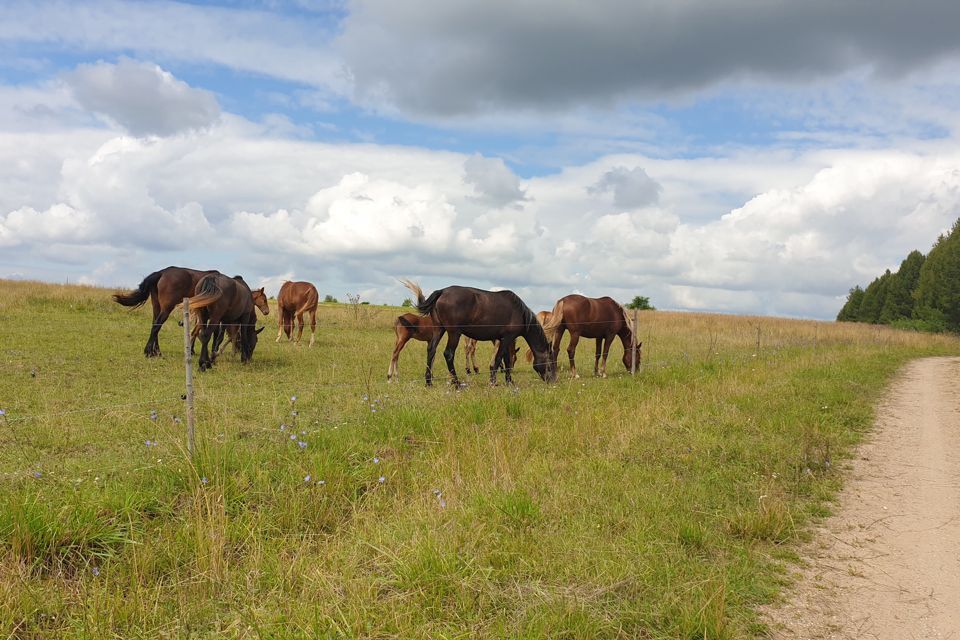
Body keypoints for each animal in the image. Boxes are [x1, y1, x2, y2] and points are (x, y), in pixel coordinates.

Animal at [412, 284, 556, 384]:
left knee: (431, 350)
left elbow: (506, 360)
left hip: (438, 329)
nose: (553, 380)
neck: (520, 313)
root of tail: (442, 291)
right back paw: (457, 383)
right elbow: (499, 359)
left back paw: (429, 382)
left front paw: (509, 381)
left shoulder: (503, 339)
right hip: (454, 333)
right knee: (448, 354)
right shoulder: (507, 338)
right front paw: (493, 381)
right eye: (550, 364)